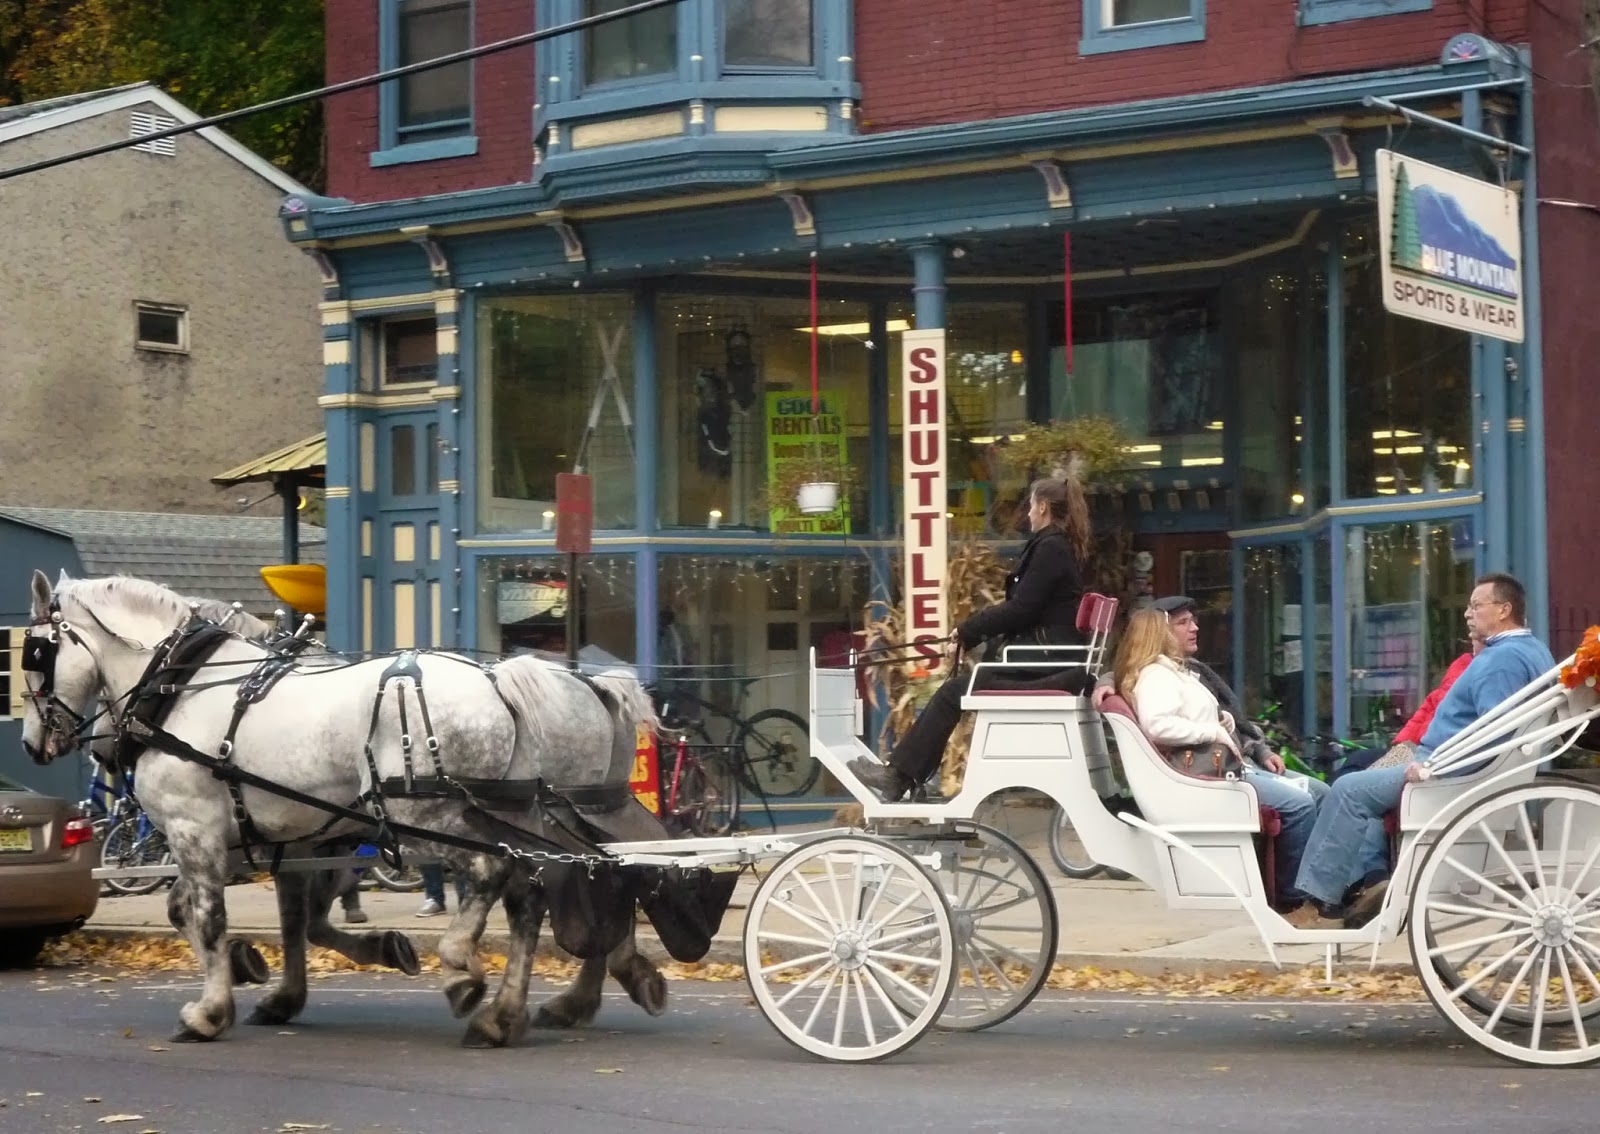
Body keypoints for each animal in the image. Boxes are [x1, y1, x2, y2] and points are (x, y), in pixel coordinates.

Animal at [20, 575, 668, 1042]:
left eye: (33, 654)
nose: (33, 745)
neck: (182, 685)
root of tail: (505, 683)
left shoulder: (194, 829)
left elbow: (208, 917)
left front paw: (211, 1010)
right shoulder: (287, 835)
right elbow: (273, 917)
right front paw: (269, 977)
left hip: (429, 818)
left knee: (512, 877)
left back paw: (468, 970)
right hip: (517, 813)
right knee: (545, 891)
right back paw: (509, 1014)